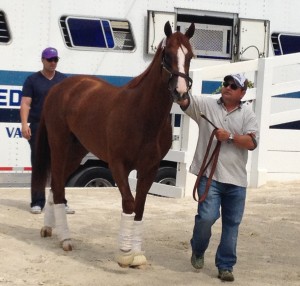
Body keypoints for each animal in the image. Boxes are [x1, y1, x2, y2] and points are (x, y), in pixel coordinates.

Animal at [32, 21, 195, 268]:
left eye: (191, 56)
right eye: (167, 55)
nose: (181, 93)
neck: (142, 113)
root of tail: (60, 88)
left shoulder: (150, 168)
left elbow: (139, 207)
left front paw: (136, 254)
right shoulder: (118, 165)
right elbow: (128, 203)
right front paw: (125, 254)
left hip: (77, 151)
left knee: (57, 185)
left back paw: (49, 228)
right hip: (59, 145)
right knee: (58, 186)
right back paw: (66, 239)